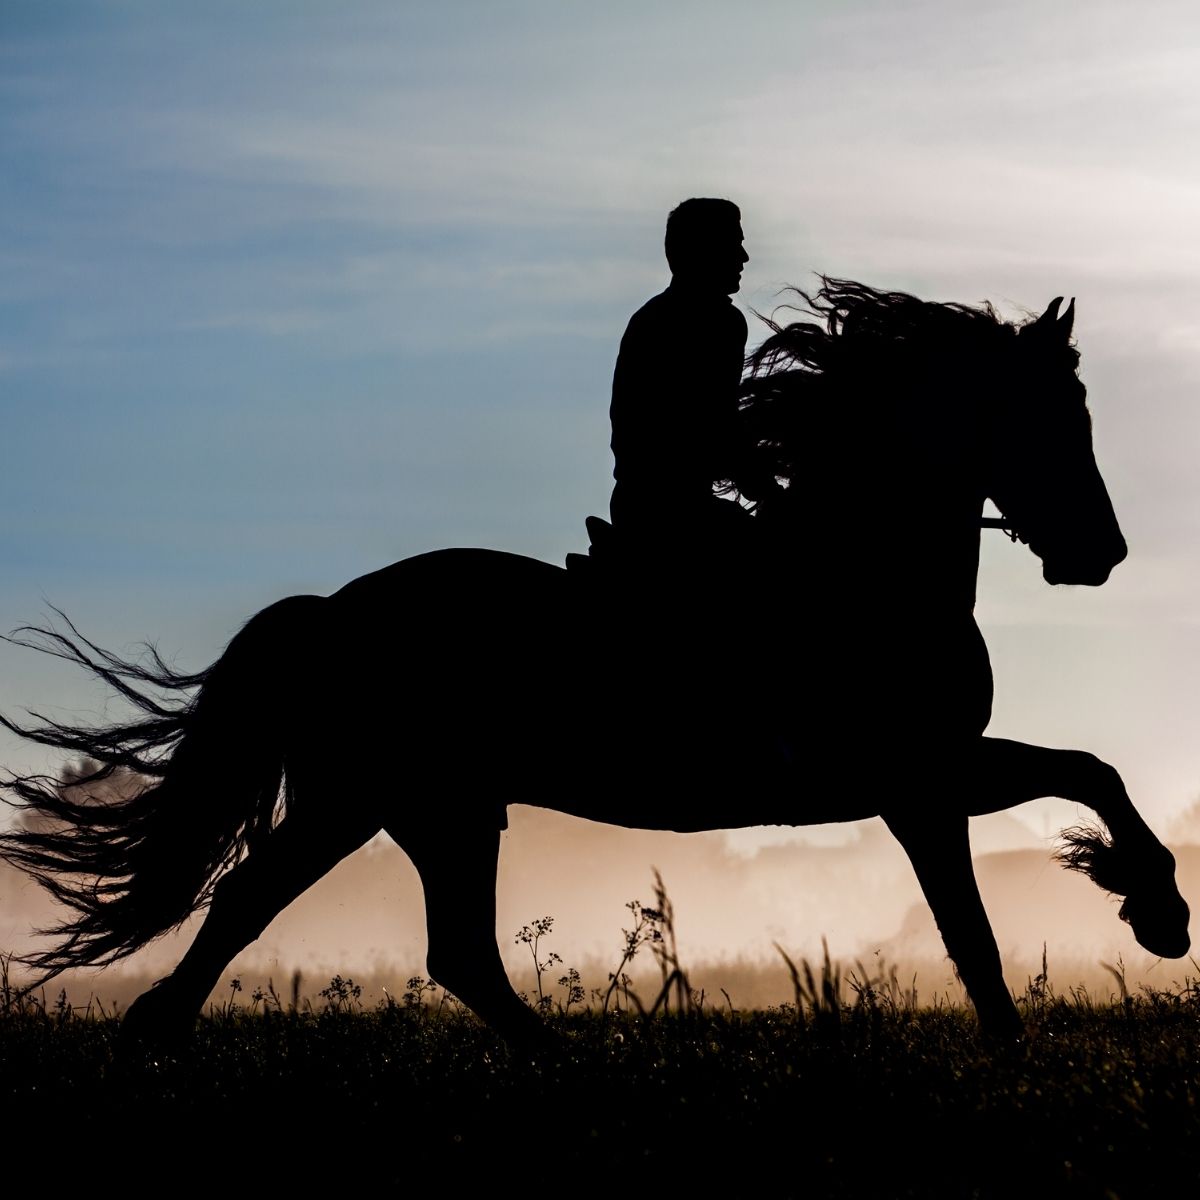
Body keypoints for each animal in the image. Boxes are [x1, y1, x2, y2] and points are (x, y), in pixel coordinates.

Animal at [0, 278, 1189, 1046]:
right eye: (1057, 414)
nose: (1102, 554)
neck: (862, 565)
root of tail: (332, 613)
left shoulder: (932, 774)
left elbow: (1081, 783)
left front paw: (1144, 914)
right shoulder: (916, 782)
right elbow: (991, 912)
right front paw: (1128, 937)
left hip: (429, 807)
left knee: (429, 945)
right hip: (377, 798)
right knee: (284, 910)